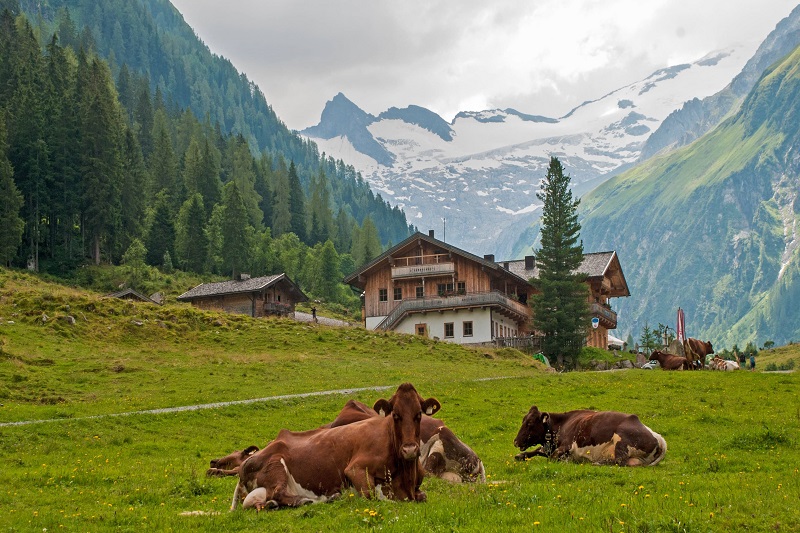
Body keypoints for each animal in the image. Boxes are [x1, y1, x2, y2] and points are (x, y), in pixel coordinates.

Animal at [231, 382, 440, 512]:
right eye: (395, 415)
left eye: (419, 414)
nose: (410, 450)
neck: (406, 477)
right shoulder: (355, 469)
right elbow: (372, 494)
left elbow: (423, 496)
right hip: (275, 465)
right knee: (278, 492)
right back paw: (312, 499)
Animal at [512, 406, 668, 464]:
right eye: (523, 420)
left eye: (530, 423)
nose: (515, 441)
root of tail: (659, 437)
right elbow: (536, 451)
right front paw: (521, 455)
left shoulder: (567, 445)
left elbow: (553, 457)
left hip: (621, 440)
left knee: (619, 461)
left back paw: (597, 462)